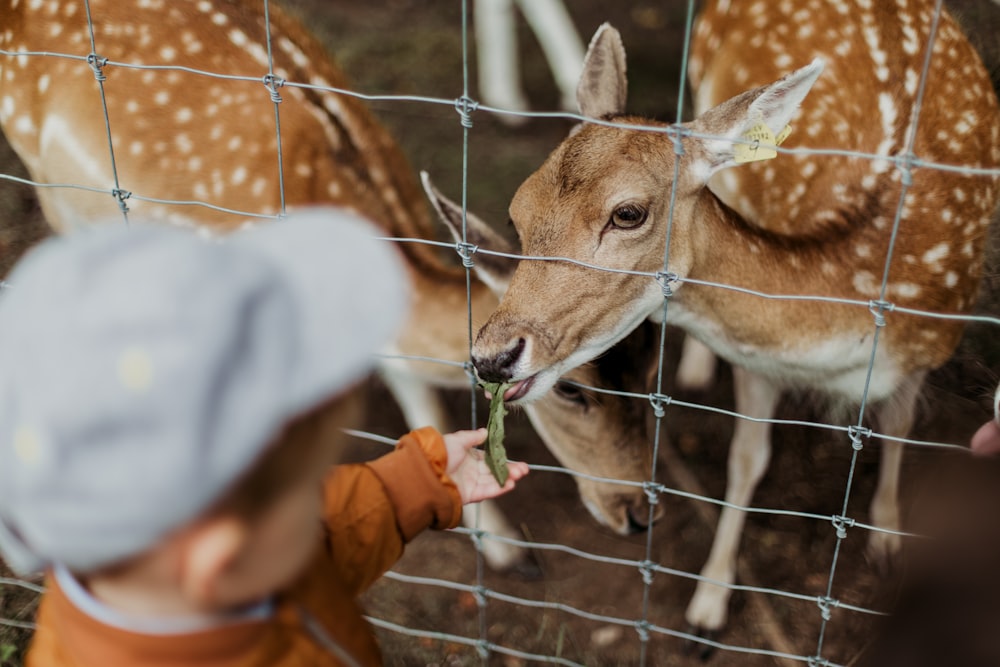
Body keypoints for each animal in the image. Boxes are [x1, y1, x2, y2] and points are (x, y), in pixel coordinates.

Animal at [460, 0, 1000, 636]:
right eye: (516, 213)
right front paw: (708, 606)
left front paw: (888, 543)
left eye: (628, 213)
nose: (492, 356)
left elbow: (897, 424)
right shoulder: (756, 359)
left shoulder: (932, 343)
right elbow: (747, 460)